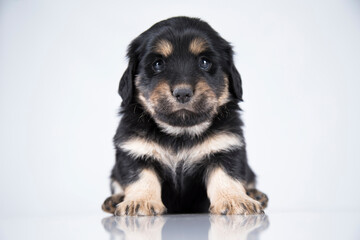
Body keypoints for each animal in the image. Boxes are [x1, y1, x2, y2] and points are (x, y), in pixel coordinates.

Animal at [101, 16, 268, 216]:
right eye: (158, 64)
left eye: (204, 62)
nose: (182, 93)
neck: (180, 133)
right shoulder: (135, 151)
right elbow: (141, 178)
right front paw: (140, 201)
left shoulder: (226, 148)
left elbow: (226, 176)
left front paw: (234, 200)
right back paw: (115, 200)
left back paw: (254, 194)